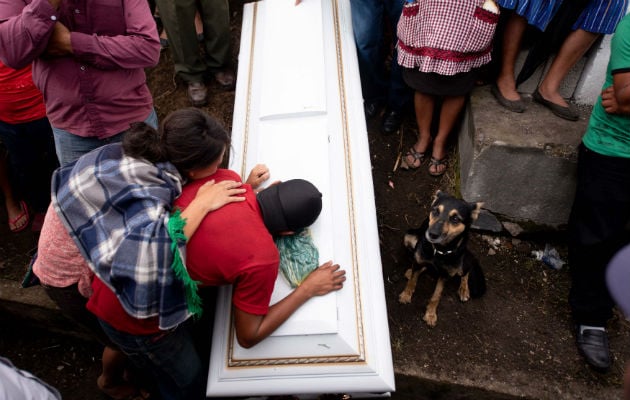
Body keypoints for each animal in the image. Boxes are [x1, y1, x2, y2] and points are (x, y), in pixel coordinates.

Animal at [400, 191, 488, 328]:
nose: (432, 234)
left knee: (466, 271)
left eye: (455, 219)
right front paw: (405, 295)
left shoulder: (445, 275)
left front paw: (431, 315)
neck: (438, 251)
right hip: (409, 236)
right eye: (435, 211)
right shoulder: (419, 258)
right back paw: (412, 271)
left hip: (460, 264)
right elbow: (412, 282)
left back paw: (464, 289)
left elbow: (436, 296)